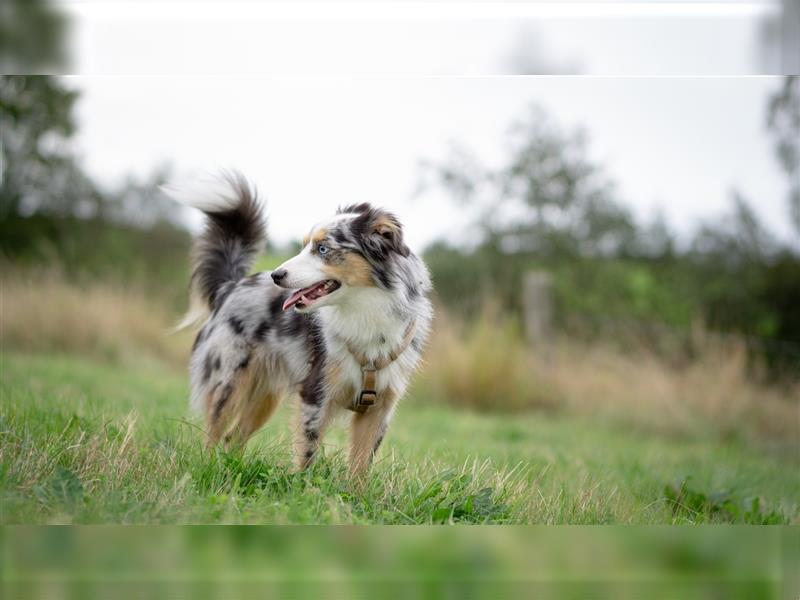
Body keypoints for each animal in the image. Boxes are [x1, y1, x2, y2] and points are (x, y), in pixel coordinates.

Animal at [163, 171, 434, 476]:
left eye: (323, 248)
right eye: (306, 246)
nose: (277, 275)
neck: (364, 309)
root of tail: (231, 286)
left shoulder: (379, 408)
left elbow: (360, 469)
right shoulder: (315, 394)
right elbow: (307, 452)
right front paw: (304, 486)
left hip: (265, 397)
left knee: (233, 437)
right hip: (229, 382)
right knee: (212, 434)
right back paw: (207, 469)